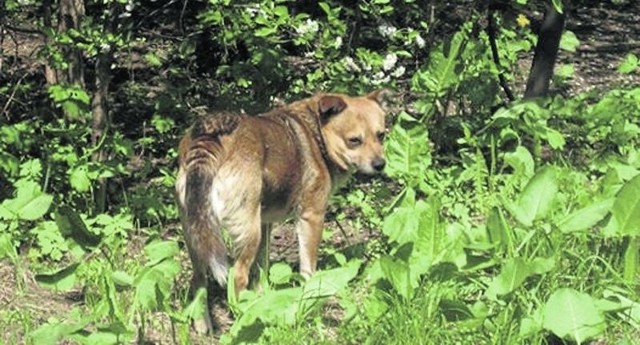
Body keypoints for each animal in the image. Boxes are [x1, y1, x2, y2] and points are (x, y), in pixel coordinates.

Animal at [172, 89, 388, 330]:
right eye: (354, 141)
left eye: (381, 135)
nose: (381, 165)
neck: (317, 135)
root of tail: (208, 139)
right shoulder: (311, 217)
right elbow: (308, 269)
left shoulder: (265, 222)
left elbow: (262, 269)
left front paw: (263, 298)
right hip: (248, 233)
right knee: (236, 277)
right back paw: (242, 317)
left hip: (198, 235)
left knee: (198, 280)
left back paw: (204, 325)